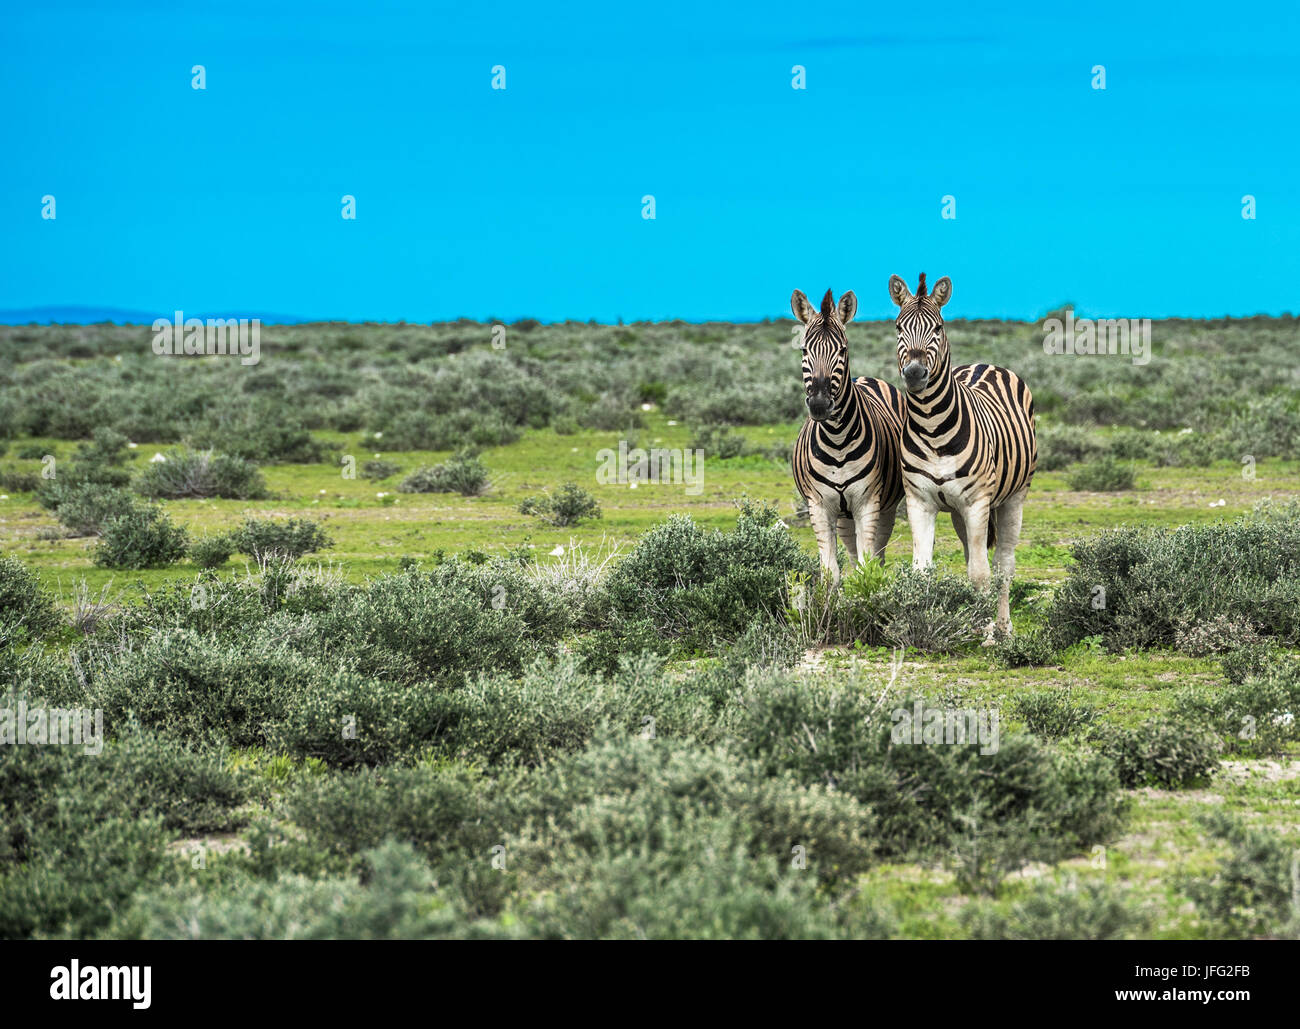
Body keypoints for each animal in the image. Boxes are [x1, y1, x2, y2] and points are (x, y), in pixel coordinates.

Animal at [790, 287, 904, 587]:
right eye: (804, 350)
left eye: (842, 349)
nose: (819, 404)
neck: (837, 441)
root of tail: (867, 378)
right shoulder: (819, 506)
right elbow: (831, 572)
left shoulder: (868, 503)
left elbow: (868, 567)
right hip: (844, 516)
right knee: (853, 554)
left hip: (885, 507)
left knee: (877, 555)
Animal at [883, 268, 1034, 631]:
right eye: (898, 327)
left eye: (937, 328)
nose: (914, 374)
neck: (932, 425)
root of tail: (986, 363)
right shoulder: (920, 502)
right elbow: (922, 572)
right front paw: (919, 626)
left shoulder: (977, 501)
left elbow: (980, 574)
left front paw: (985, 633)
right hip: (958, 512)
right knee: (974, 555)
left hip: (1014, 497)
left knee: (1003, 563)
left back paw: (1003, 628)